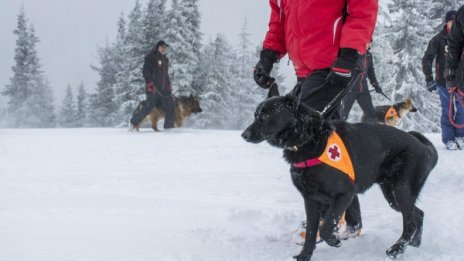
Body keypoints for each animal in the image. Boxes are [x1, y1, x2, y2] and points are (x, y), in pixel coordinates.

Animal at [243, 95, 438, 260]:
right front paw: (304, 256)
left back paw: (396, 249)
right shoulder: (311, 200)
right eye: (255, 115)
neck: (309, 139)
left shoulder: (344, 195)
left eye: (266, 115)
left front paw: (333, 241)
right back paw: (415, 243)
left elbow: (326, 226)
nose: (244, 135)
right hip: (393, 196)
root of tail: (424, 147)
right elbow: (311, 233)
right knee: (418, 214)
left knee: (410, 223)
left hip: (401, 190)